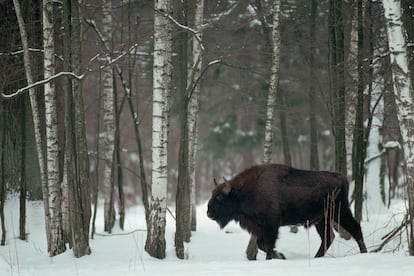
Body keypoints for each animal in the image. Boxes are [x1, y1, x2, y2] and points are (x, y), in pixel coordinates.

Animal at [207, 165, 368, 260]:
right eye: (212, 194)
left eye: (219, 197)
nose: (209, 213)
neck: (243, 192)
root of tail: (342, 178)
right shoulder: (260, 228)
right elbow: (262, 244)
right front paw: (281, 256)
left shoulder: (271, 225)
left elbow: (268, 245)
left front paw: (274, 257)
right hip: (322, 219)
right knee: (328, 237)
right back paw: (316, 257)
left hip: (339, 212)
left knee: (355, 228)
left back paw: (364, 252)